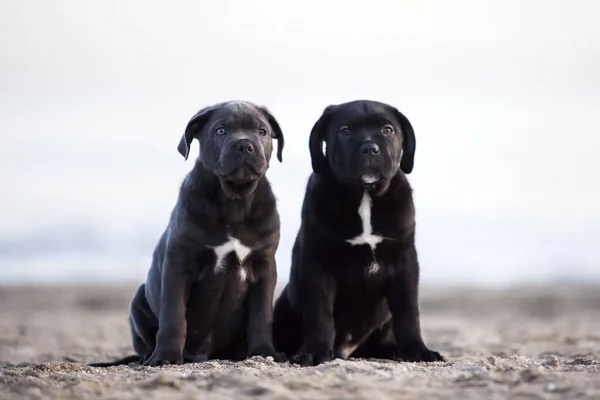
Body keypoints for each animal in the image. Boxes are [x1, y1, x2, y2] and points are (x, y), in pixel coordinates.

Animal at [89, 100, 286, 366]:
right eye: (220, 131)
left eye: (262, 131)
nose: (245, 145)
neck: (234, 200)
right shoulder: (178, 266)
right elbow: (173, 318)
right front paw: (166, 357)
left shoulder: (264, 267)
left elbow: (262, 315)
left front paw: (265, 352)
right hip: (138, 300)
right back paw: (150, 357)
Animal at [274, 99, 442, 366]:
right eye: (345, 131)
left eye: (387, 129)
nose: (370, 148)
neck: (364, 196)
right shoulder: (318, 263)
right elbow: (320, 313)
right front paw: (314, 352)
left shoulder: (404, 262)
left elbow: (408, 313)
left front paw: (418, 351)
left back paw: (393, 350)